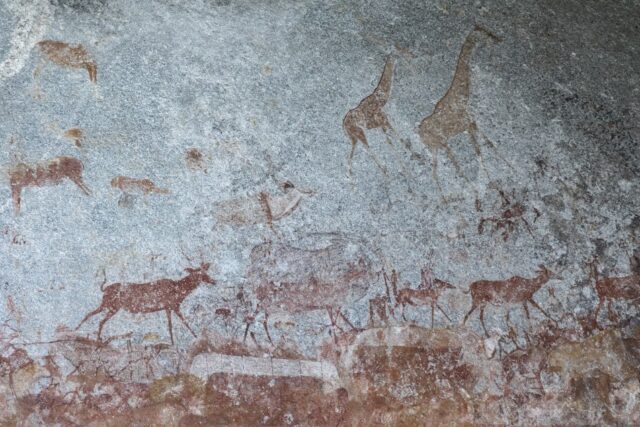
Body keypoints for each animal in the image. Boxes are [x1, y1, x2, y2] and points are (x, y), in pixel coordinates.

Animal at [76, 260, 216, 344]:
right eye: (199, 274)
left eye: (206, 272)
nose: (213, 281)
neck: (179, 291)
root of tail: (104, 289)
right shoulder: (171, 306)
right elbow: (178, 324)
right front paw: (189, 339)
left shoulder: (169, 307)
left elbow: (175, 324)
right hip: (112, 306)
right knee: (97, 319)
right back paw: (93, 338)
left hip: (108, 305)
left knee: (92, 315)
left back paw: (80, 331)